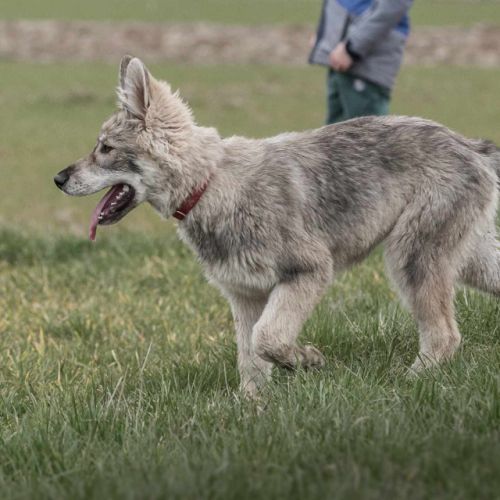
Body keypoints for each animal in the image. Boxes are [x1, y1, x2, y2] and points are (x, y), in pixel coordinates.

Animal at [55, 56, 500, 398]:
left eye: (105, 149)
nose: (58, 179)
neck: (209, 184)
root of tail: (469, 145)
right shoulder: (245, 296)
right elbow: (250, 359)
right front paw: (252, 407)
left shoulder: (307, 272)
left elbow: (268, 340)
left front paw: (305, 361)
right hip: (466, 261)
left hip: (411, 259)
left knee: (444, 336)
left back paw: (409, 381)